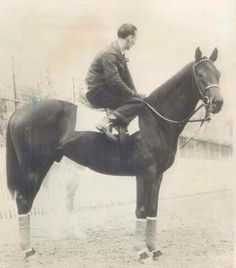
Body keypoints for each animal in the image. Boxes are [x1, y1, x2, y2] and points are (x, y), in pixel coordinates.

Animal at [5, 48, 223, 260]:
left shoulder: (158, 175)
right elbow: (141, 209)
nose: (218, 102)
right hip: (35, 168)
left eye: (218, 74)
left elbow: (152, 209)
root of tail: (20, 111)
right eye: (200, 74)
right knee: (24, 201)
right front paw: (141, 252)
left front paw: (154, 249)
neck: (155, 120)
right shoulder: (145, 174)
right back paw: (28, 250)